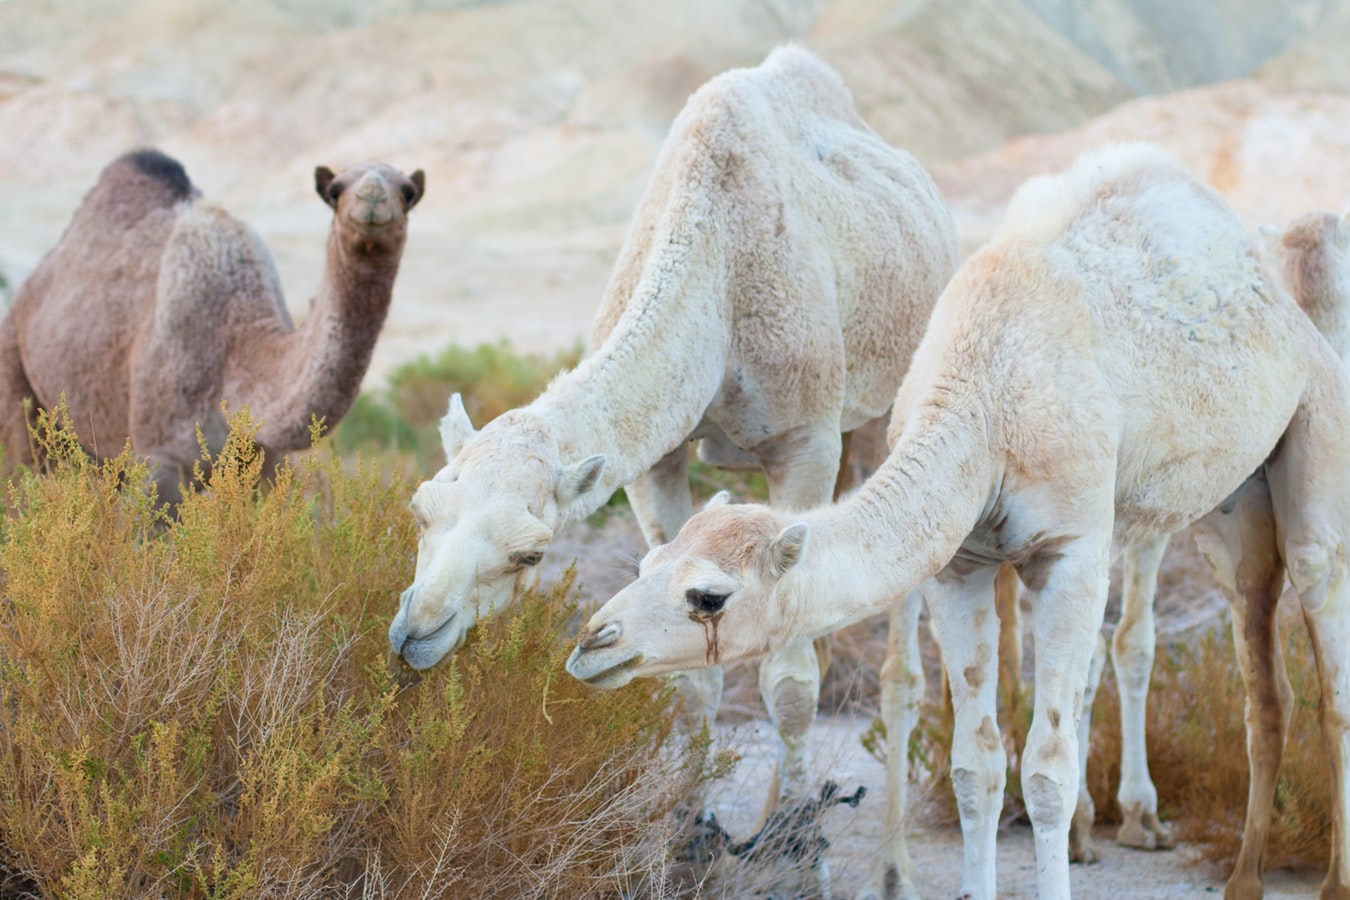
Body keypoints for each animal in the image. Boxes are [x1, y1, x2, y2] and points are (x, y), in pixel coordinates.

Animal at [0, 147, 421, 507]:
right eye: (335, 191)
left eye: (407, 192)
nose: (371, 198)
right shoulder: (161, 460)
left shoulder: (268, 460)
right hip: (16, 374)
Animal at [388, 40, 961, 885]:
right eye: (420, 509)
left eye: (531, 552)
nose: (415, 632)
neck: (718, 278)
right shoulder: (654, 467)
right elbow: (692, 674)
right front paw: (691, 840)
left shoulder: (806, 440)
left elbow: (789, 680)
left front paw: (800, 859)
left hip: (883, 416)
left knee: (897, 658)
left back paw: (886, 862)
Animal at [564, 144, 1350, 895]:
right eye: (647, 563)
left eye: (708, 596)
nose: (592, 643)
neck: (985, 401)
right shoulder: (961, 564)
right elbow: (976, 766)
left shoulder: (1071, 550)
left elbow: (1048, 770)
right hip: (1229, 507)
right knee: (1262, 669)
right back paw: (1242, 878)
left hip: (1316, 423)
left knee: (1322, 626)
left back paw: (1325, 879)